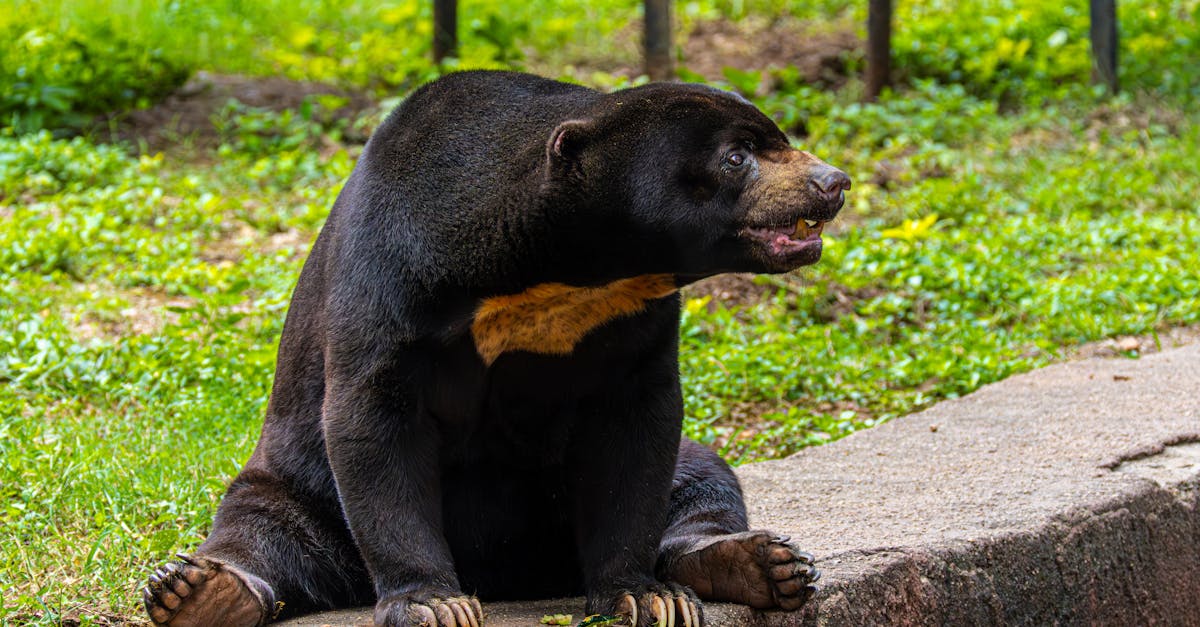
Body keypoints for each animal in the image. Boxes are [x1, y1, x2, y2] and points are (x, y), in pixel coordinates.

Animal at [142, 70, 850, 627]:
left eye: (779, 139)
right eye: (737, 157)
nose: (833, 182)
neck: (562, 271)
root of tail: (516, 575)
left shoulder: (632, 317)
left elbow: (639, 429)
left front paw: (642, 597)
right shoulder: (392, 273)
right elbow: (374, 416)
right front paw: (434, 605)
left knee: (702, 475)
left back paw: (760, 562)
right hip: (299, 487)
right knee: (261, 528)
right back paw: (198, 592)